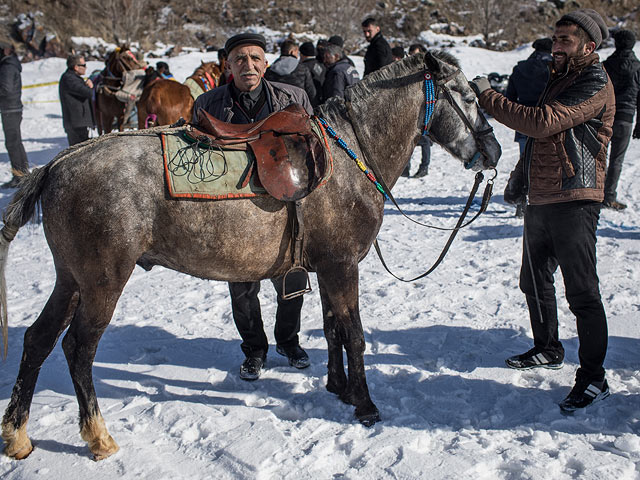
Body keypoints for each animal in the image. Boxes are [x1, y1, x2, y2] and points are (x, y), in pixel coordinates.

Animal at [0, 50, 500, 460]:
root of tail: (57, 165)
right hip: (102, 281)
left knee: (38, 339)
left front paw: (338, 387)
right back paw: (98, 437)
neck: (351, 154)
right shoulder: (342, 266)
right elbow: (354, 335)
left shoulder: (327, 268)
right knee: (78, 348)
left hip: (71, 279)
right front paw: (365, 404)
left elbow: (332, 329)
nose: (494, 150)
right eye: (467, 96)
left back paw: (17, 436)